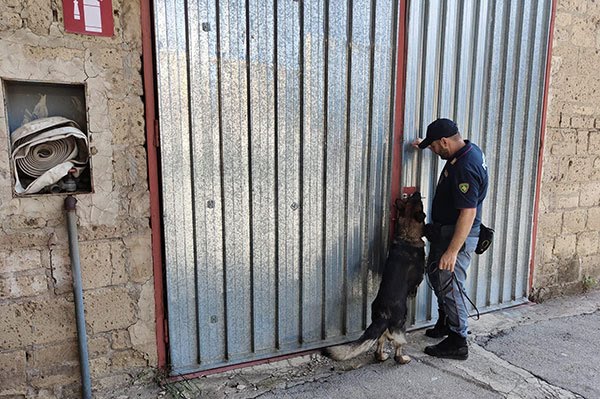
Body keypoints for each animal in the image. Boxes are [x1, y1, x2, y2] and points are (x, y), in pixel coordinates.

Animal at [326, 194, 424, 366]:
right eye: (420, 203)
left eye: (413, 198)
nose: (417, 193)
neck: (407, 235)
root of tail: (383, 314)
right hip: (401, 325)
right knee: (397, 345)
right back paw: (402, 358)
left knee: (380, 342)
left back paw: (381, 356)